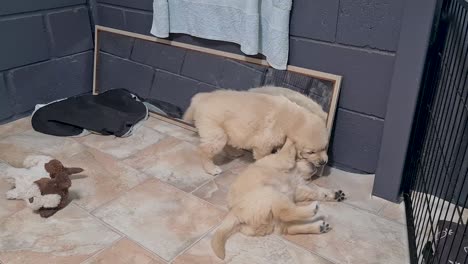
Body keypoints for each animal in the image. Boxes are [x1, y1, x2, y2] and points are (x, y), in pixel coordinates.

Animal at [183, 88, 330, 175]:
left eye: (324, 148)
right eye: (310, 152)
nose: (323, 162)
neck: (294, 120)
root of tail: (201, 98)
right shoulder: (265, 143)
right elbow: (264, 156)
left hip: (228, 130)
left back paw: (235, 153)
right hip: (215, 132)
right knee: (205, 151)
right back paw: (211, 169)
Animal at [210, 139, 346, 258]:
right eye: (302, 157)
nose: (315, 166)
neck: (295, 174)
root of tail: (235, 213)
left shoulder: (299, 189)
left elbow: (318, 192)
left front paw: (334, 194)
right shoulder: (281, 160)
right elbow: (288, 149)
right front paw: (291, 138)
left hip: (273, 215)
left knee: (289, 226)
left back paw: (319, 226)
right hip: (271, 194)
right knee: (286, 213)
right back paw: (313, 209)